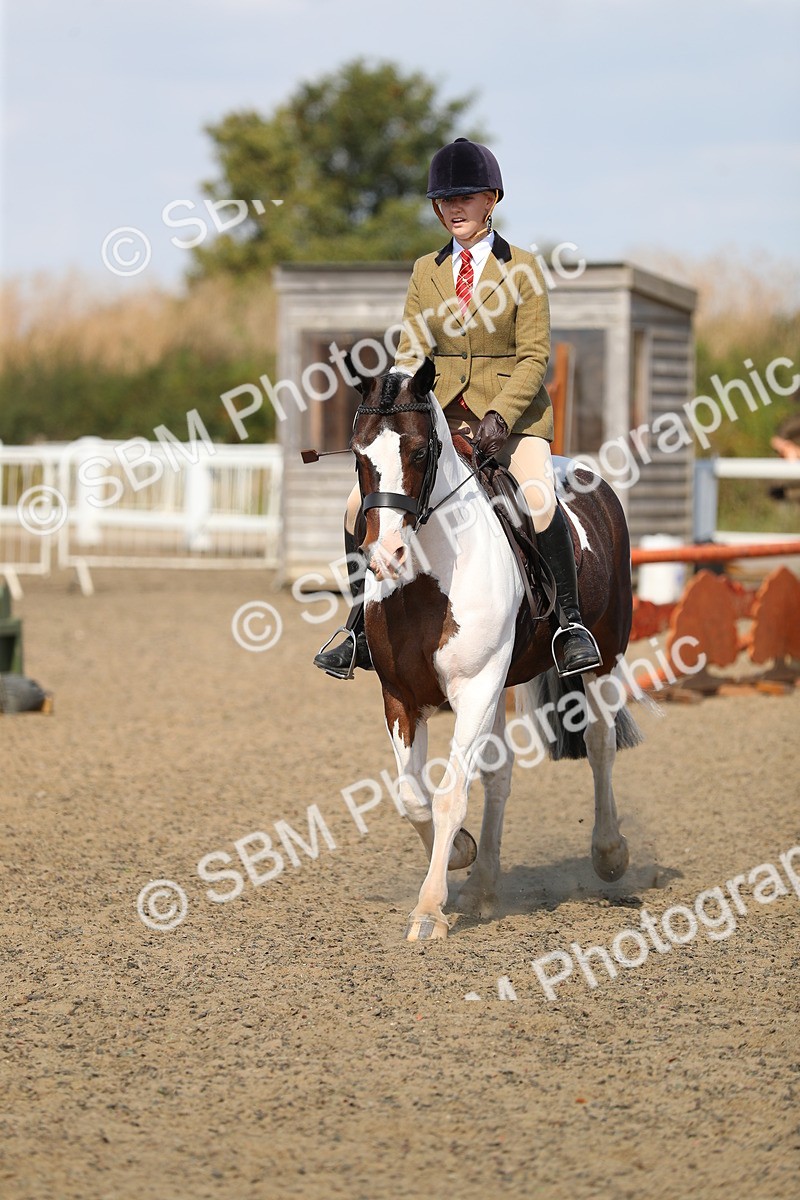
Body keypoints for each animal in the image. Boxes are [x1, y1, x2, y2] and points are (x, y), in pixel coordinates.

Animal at [346, 356, 642, 942]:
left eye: (420, 452)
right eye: (359, 456)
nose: (386, 557)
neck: (428, 580)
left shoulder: (477, 687)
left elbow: (449, 794)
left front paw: (429, 909)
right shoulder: (401, 696)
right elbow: (412, 795)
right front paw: (460, 855)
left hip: (604, 657)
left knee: (599, 745)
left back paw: (609, 853)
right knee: (499, 777)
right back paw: (482, 885)